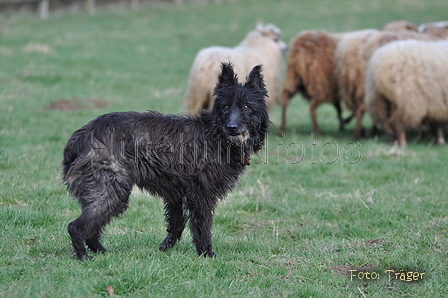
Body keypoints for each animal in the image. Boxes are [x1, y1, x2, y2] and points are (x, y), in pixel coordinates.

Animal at [62, 62, 270, 258]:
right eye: (225, 107)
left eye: (246, 106)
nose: (232, 127)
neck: (215, 134)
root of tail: (82, 135)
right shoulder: (201, 195)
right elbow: (202, 227)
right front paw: (206, 254)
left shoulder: (177, 195)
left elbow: (177, 224)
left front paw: (165, 248)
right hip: (110, 191)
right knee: (76, 227)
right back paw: (83, 256)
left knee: (91, 228)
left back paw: (100, 251)